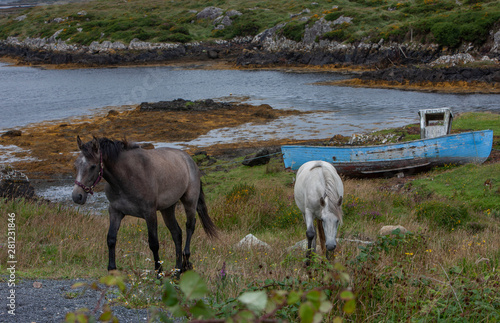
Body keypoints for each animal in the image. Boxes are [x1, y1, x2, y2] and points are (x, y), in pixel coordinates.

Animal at [72, 137, 217, 276]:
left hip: (189, 202)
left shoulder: (150, 213)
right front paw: (112, 270)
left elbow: (153, 243)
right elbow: (111, 239)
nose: (77, 196)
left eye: (93, 166)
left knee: (190, 226)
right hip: (167, 209)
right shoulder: (115, 211)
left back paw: (186, 263)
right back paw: (177, 270)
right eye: (76, 165)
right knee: (177, 233)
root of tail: (189, 159)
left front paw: (159, 272)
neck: (127, 177)